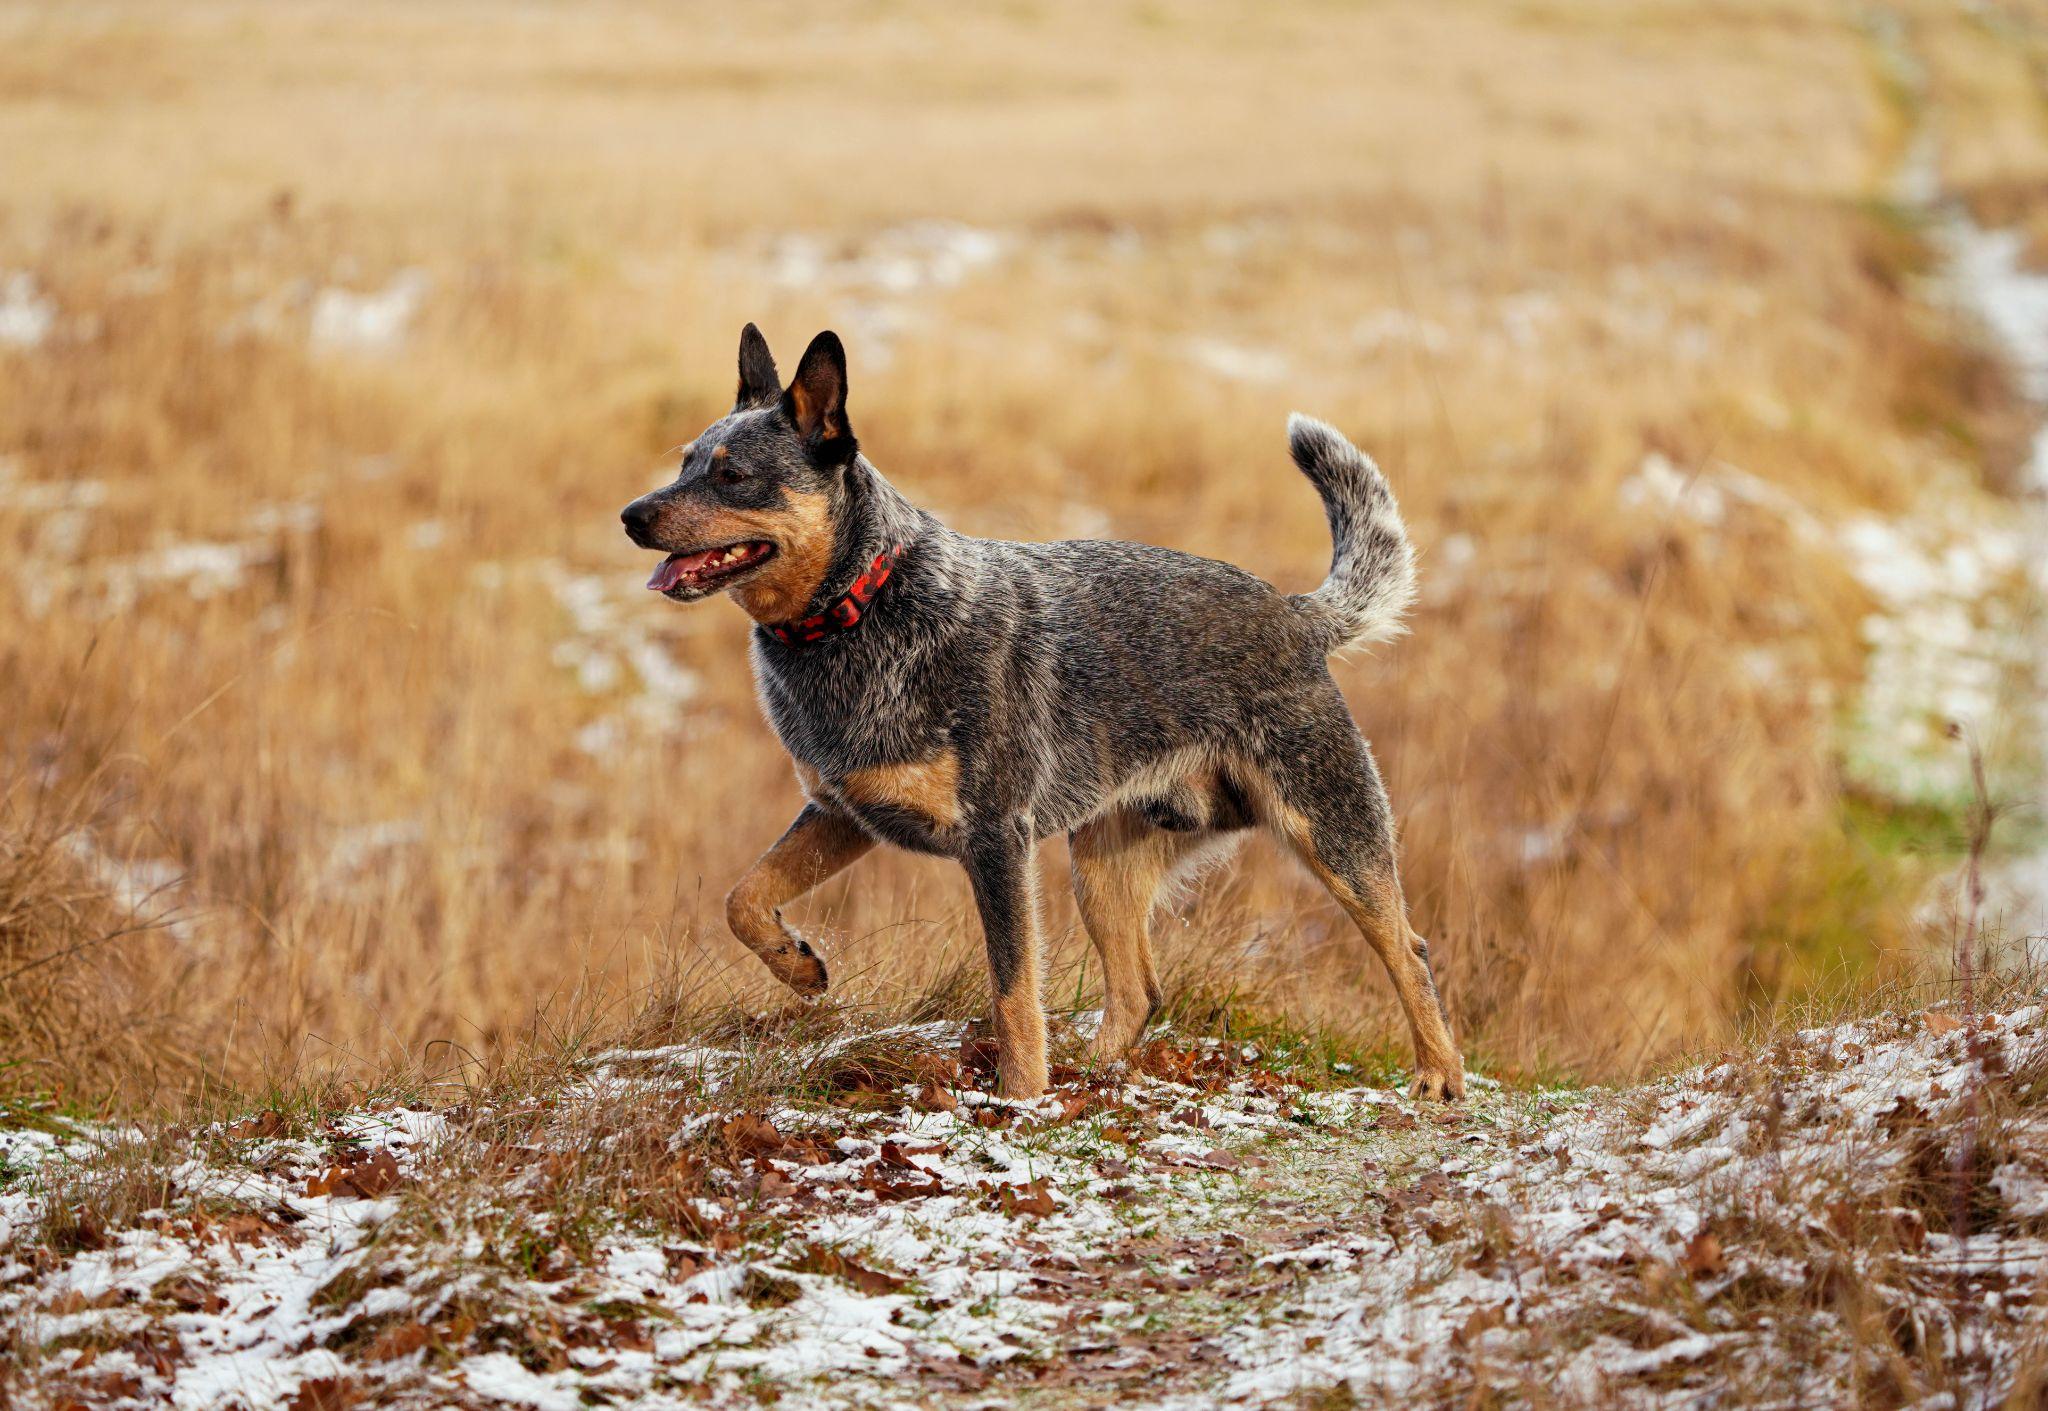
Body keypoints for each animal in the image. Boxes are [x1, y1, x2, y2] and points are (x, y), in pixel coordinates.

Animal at [614, 325, 1466, 1097]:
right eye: (686, 462)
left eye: (733, 474)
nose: (632, 514)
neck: (862, 607)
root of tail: (1295, 614)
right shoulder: (843, 812)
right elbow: (743, 897)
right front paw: (798, 967)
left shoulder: (996, 838)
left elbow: (1014, 990)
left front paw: (1019, 1099)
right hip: (1103, 863)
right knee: (1139, 988)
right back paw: (1091, 1075)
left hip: (1331, 830)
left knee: (1410, 948)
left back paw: (1439, 1075)